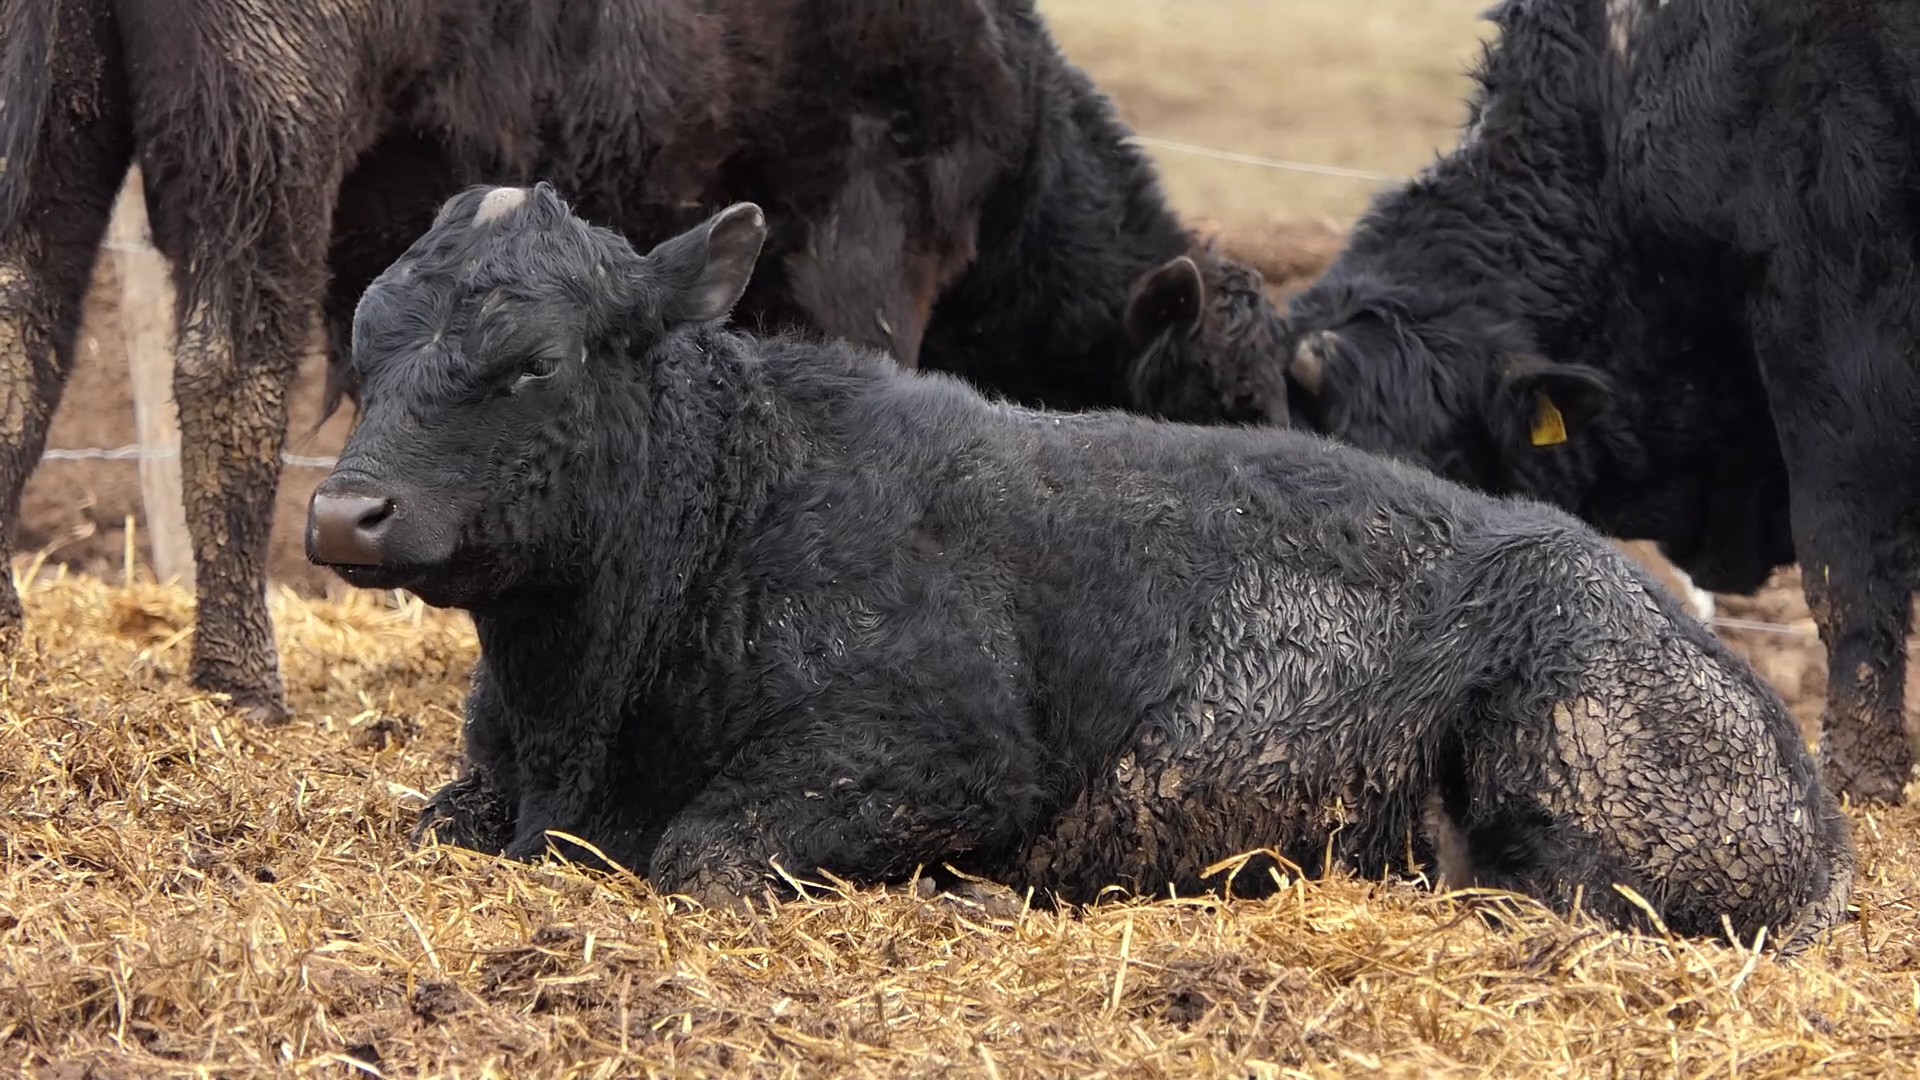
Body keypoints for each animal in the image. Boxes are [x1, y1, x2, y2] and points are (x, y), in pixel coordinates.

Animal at [3, 0, 1290, 722]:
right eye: (1225, 406)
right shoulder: (870, 238)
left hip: (62, 132)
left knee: (28, 339)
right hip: (264, 126)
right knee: (227, 369)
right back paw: (243, 679)